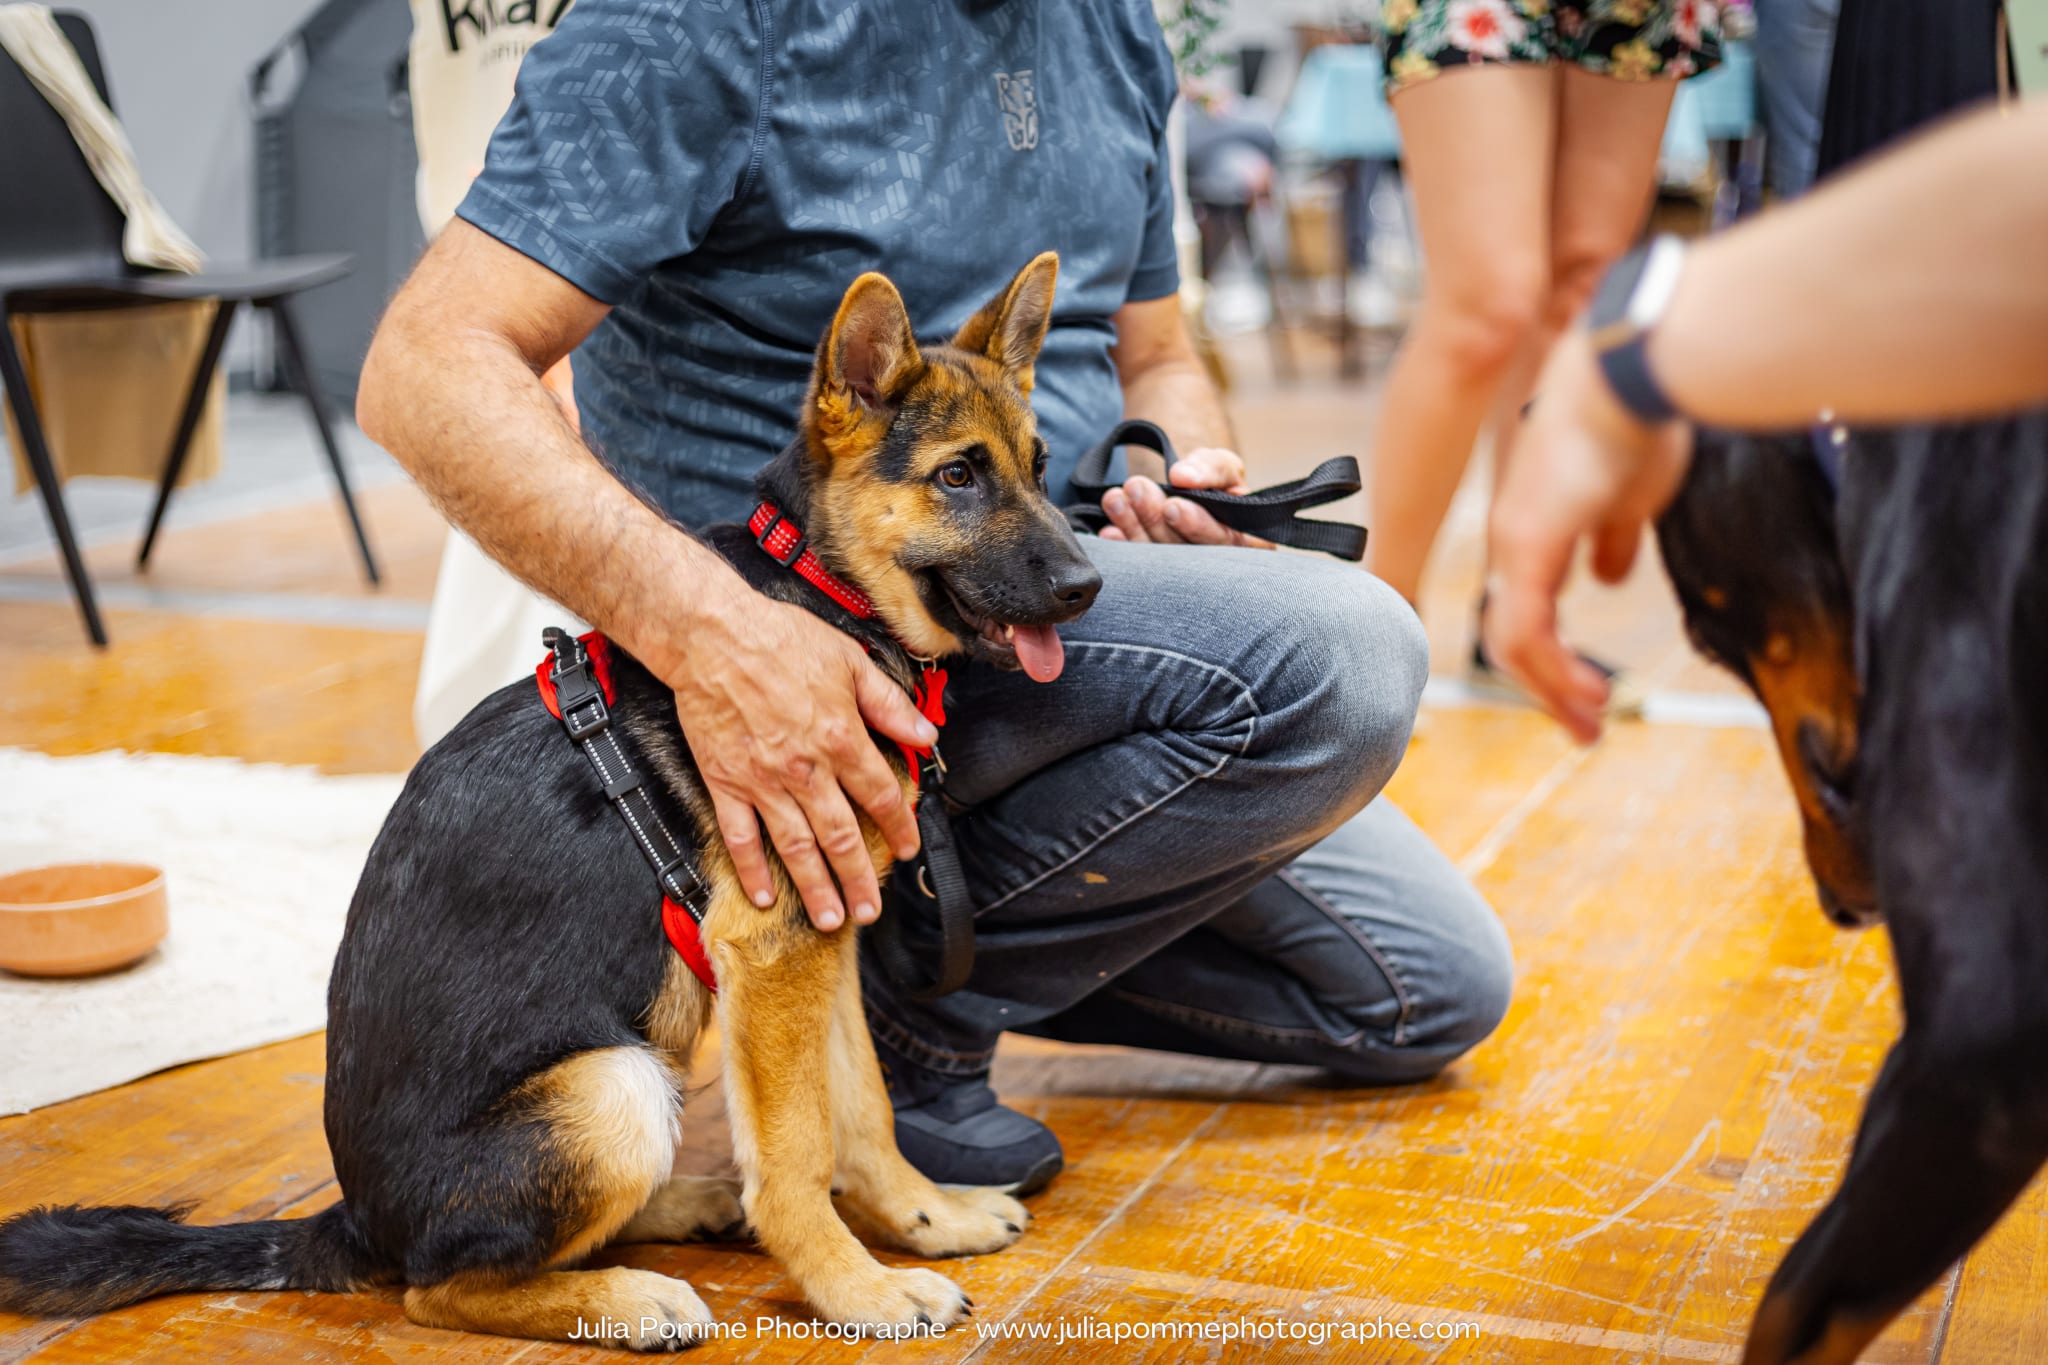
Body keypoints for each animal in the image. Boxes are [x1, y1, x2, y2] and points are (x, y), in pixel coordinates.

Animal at [0, 253, 1105, 1342]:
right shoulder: (773, 946)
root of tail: (355, 1224)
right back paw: (630, 1298)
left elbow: (861, 1108)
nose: (1086, 586)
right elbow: (795, 1157)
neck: (825, 595)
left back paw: (687, 1207)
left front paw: (922, 1219)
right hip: (612, 1084)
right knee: (441, 1287)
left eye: (1040, 468)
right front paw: (855, 1290)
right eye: (957, 476)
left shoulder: (820, 936)